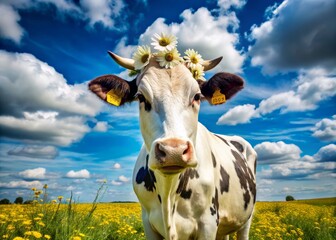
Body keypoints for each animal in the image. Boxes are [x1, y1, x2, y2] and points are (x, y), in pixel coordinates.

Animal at [88, 49, 256, 239]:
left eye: (197, 96)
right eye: (141, 97)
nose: (173, 151)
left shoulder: (209, 222)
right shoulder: (147, 221)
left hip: (246, 218)